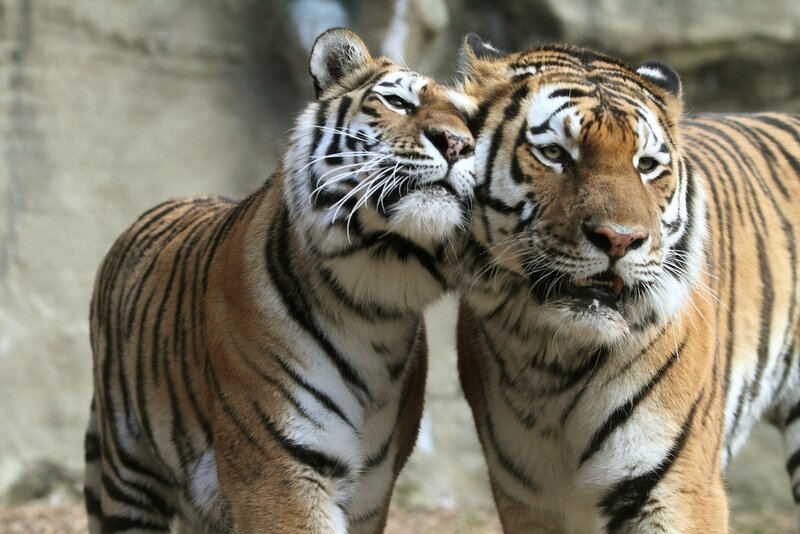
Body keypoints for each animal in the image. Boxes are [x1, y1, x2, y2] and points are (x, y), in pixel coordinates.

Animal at [83, 28, 476, 534]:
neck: (375, 294)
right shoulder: (279, 469)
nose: (457, 144)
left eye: (473, 125)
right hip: (129, 472)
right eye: (396, 102)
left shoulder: (372, 489)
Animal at [453, 33, 800, 533]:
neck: (552, 361)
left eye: (647, 165)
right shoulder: (528, 499)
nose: (619, 239)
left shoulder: (676, 488)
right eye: (555, 154)